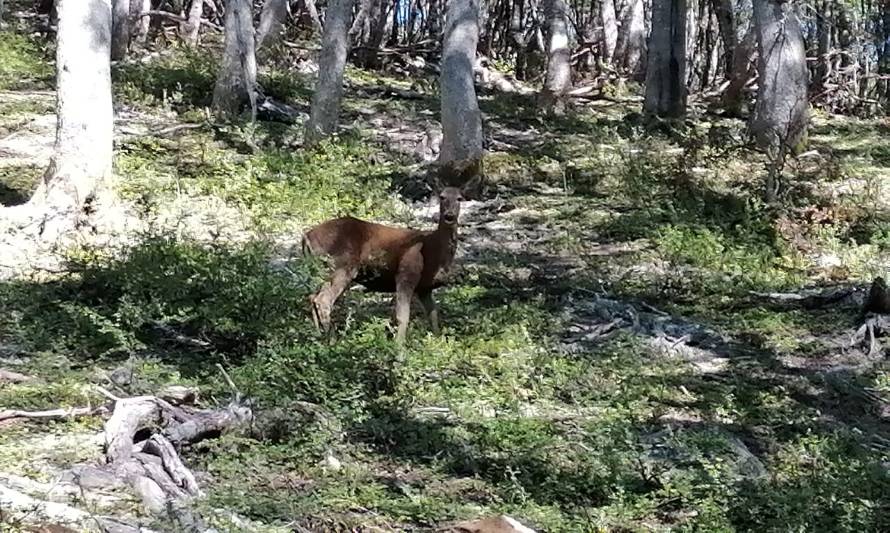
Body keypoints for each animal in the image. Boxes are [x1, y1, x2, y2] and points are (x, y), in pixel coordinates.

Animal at [300, 187, 464, 344]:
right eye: (442, 197)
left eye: (459, 198)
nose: (449, 215)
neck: (433, 251)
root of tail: (306, 237)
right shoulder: (406, 274)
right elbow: (403, 315)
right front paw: (399, 347)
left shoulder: (425, 288)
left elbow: (433, 315)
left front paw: (438, 341)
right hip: (341, 266)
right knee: (323, 300)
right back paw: (333, 341)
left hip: (321, 270)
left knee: (312, 296)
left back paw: (318, 336)